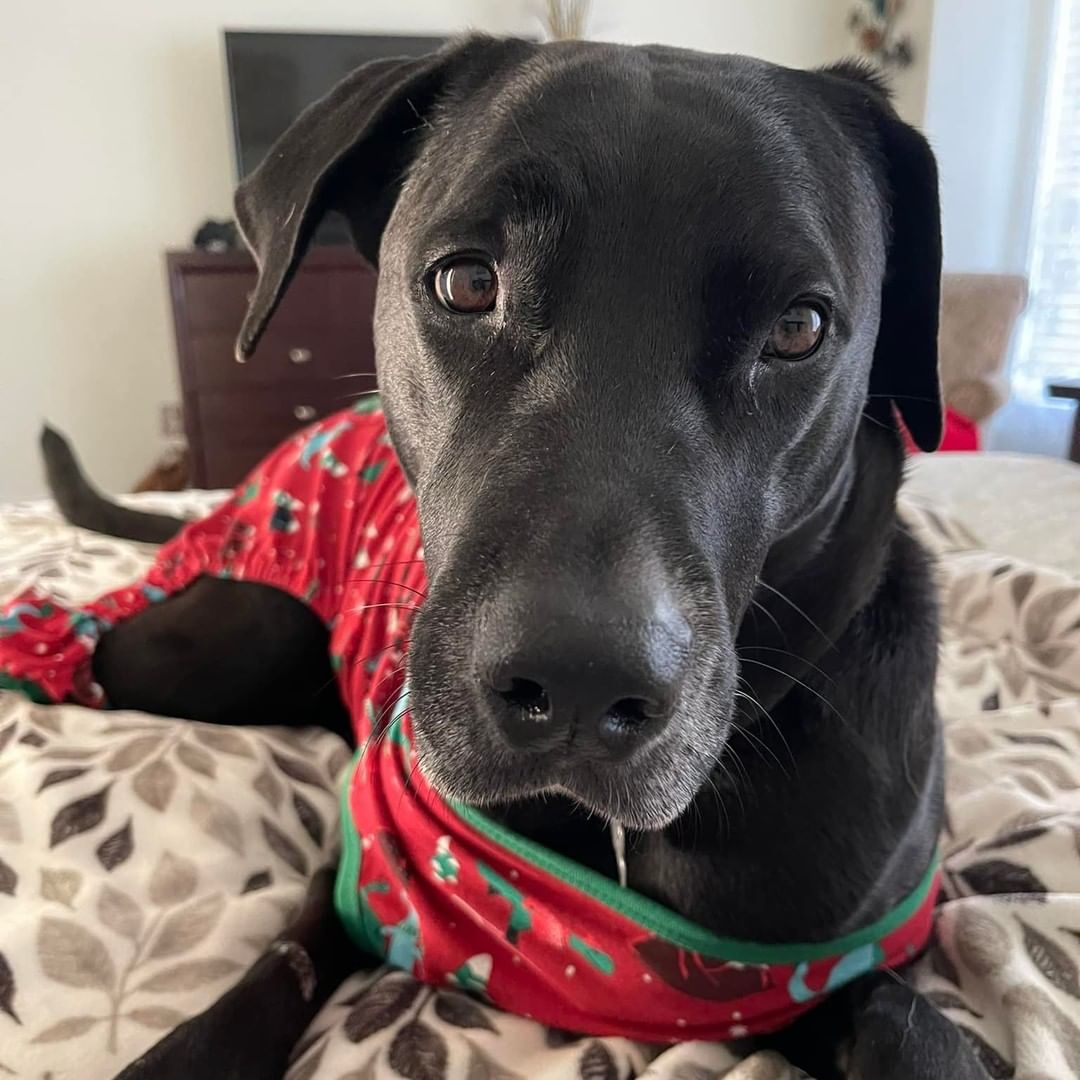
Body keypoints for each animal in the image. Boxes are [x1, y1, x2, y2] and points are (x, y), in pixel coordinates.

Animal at [44, 38, 989, 1080]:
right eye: (467, 282)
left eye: (799, 328)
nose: (579, 682)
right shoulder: (362, 877)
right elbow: (282, 958)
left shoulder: (812, 967)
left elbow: (913, 1021)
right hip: (215, 647)